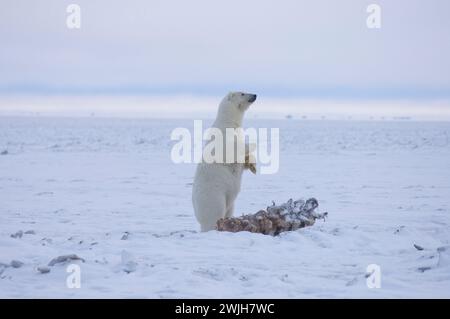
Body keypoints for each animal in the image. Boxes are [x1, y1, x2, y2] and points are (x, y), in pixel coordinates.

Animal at [192, 91, 256, 231]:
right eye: (242, 93)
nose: (255, 95)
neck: (228, 122)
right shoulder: (222, 137)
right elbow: (230, 150)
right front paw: (253, 143)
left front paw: (253, 166)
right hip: (214, 196)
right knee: (215, 213)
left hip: (230, 204)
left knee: (229, 210)